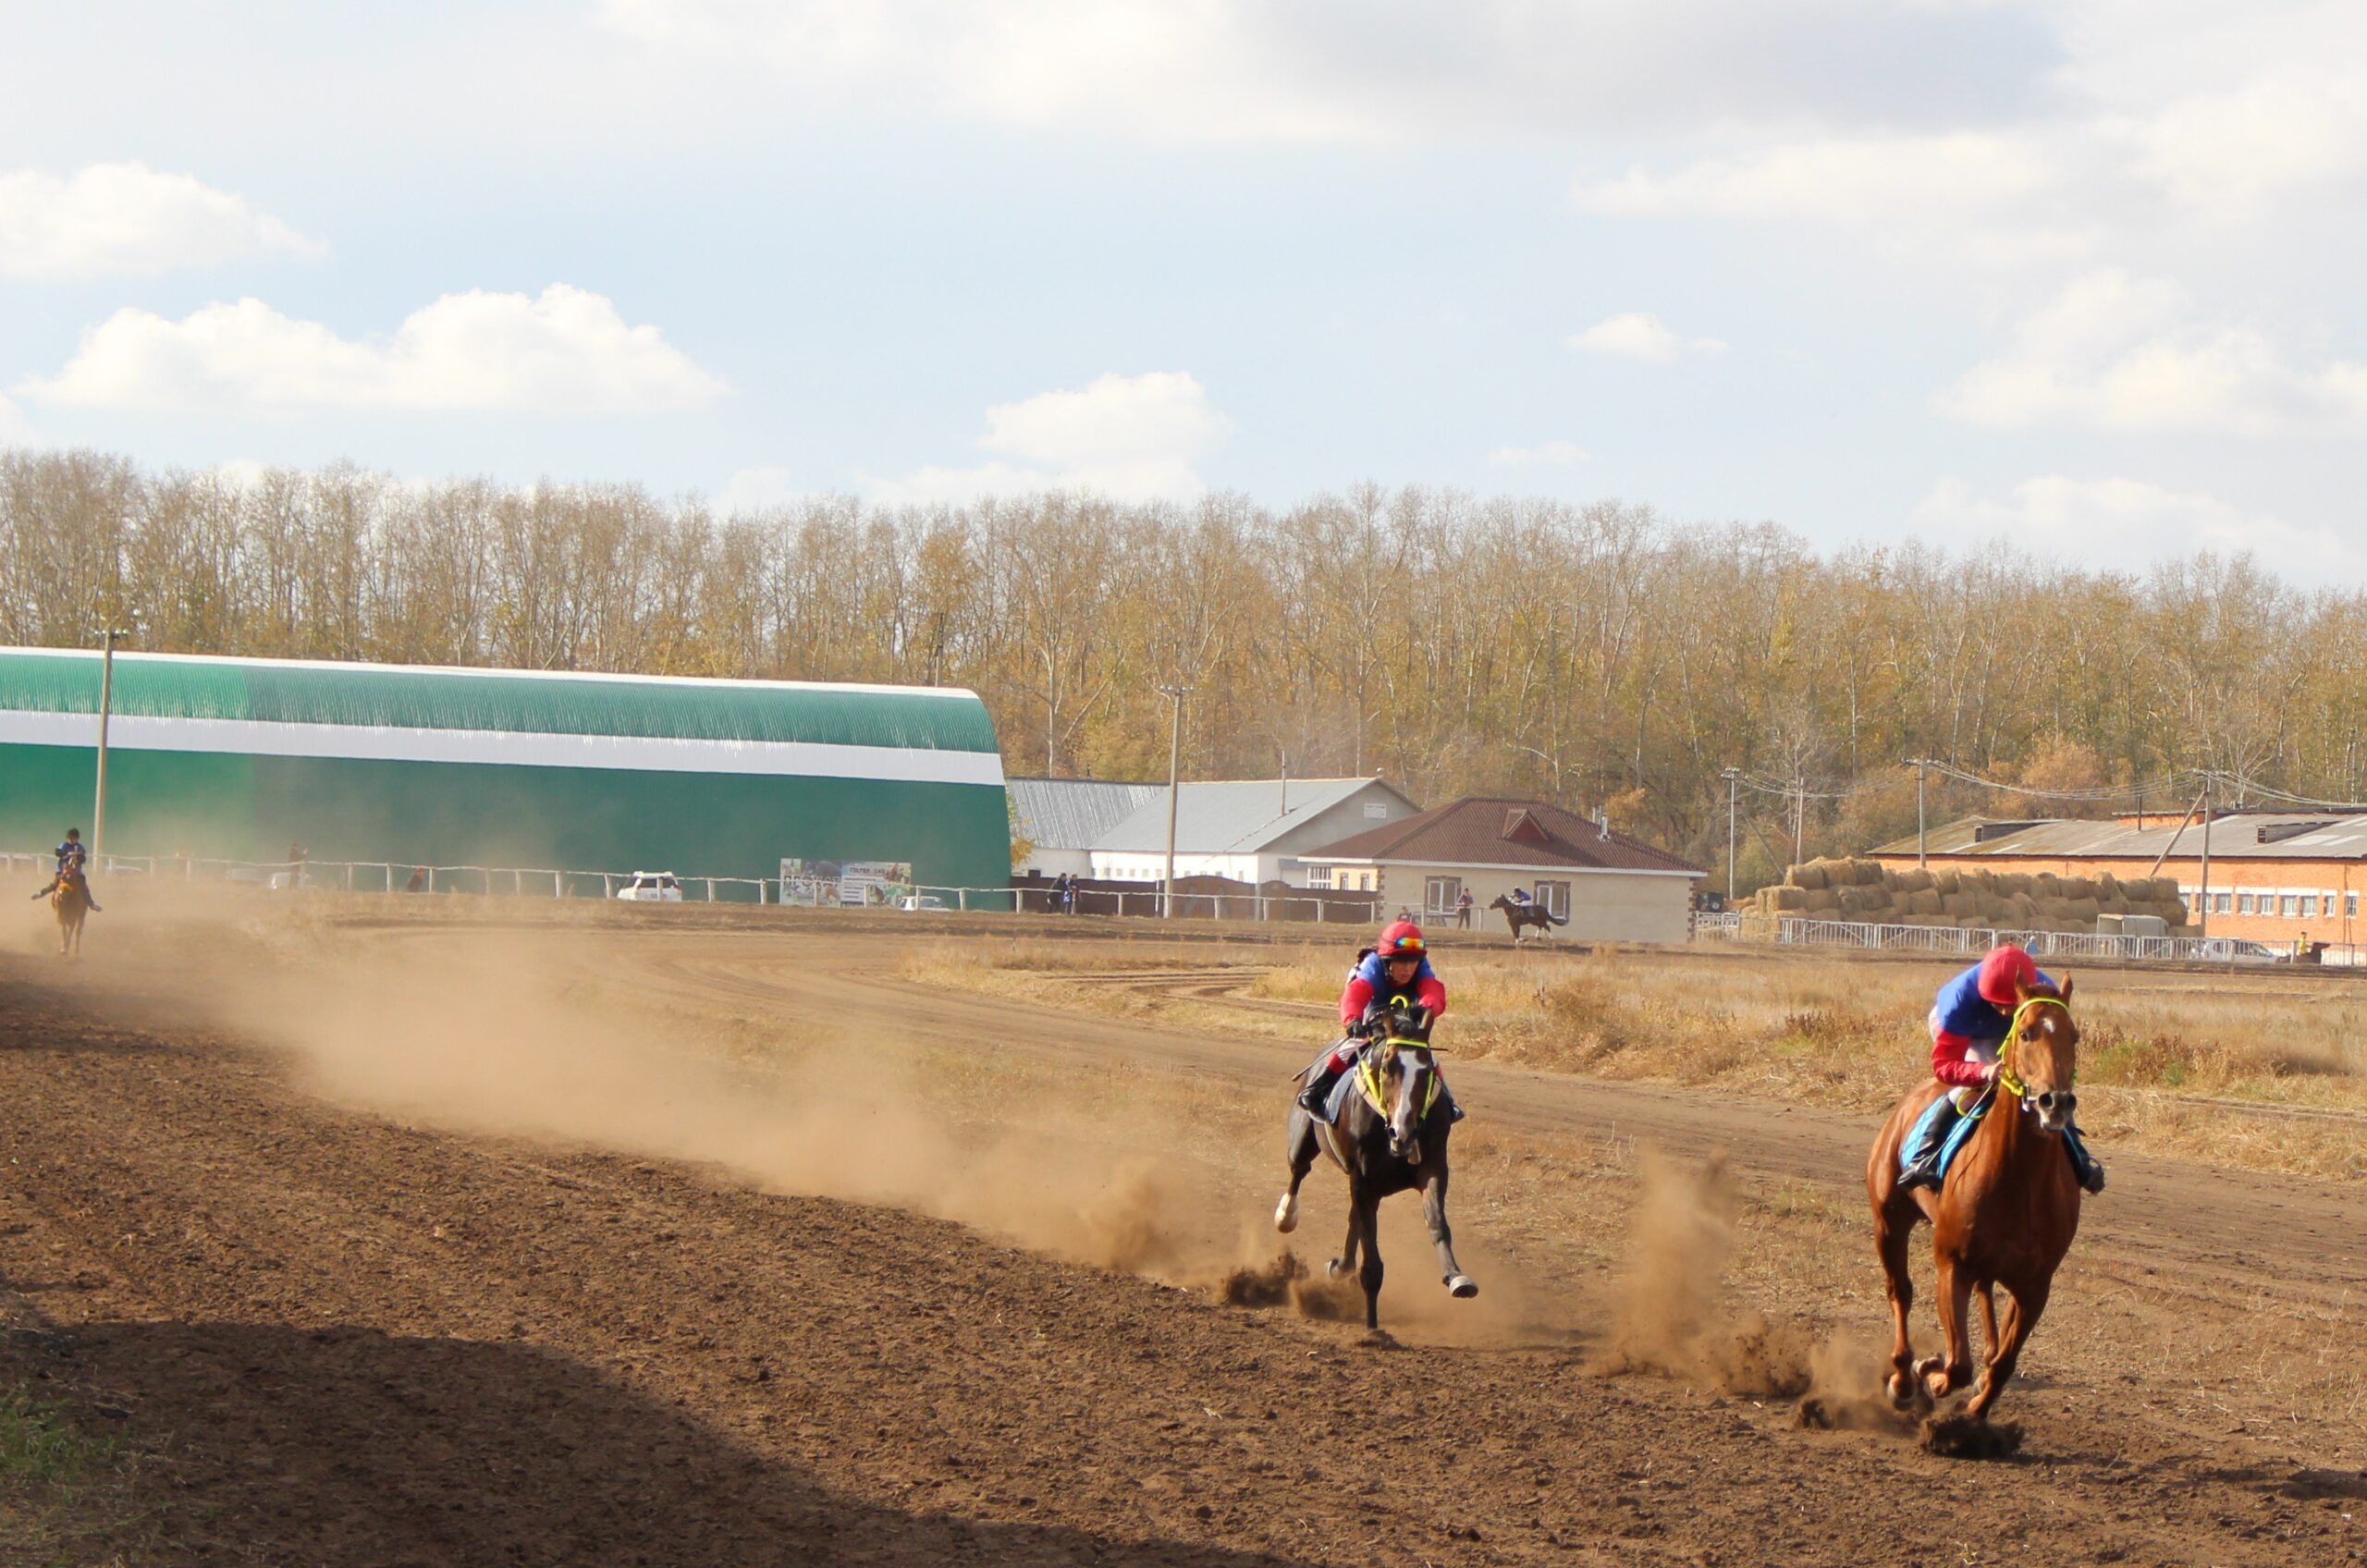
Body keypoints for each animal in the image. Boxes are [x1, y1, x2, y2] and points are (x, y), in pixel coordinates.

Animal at [1269, 999, 1467, 1335]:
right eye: (1387, 1067)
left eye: (1426, 1070)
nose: (1404, 1133)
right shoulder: (1363, 1180)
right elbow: (1371, 1256)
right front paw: (1372, 1327)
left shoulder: (1432, 1168)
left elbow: (1437, 1223)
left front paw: (1456, 1277)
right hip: (1303, 1139)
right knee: (1298, 1172)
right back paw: (1286, 1217)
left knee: (1352, 1219)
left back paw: (1341, 1266)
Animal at [1874, 985, 2082, 1439]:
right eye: (2026, 1033)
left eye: (2074, 1037)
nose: (2054, 1102)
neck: (2017, 1179)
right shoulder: (1952, 1263)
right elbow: (1957, 1363)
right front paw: (1930, 1371)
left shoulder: (2035, 1285)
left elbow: (2003, 1363)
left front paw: (1975, 1410)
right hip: (1888, 1221)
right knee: (1901, 1292)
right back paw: (1903, 1378)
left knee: (1988, 1313)